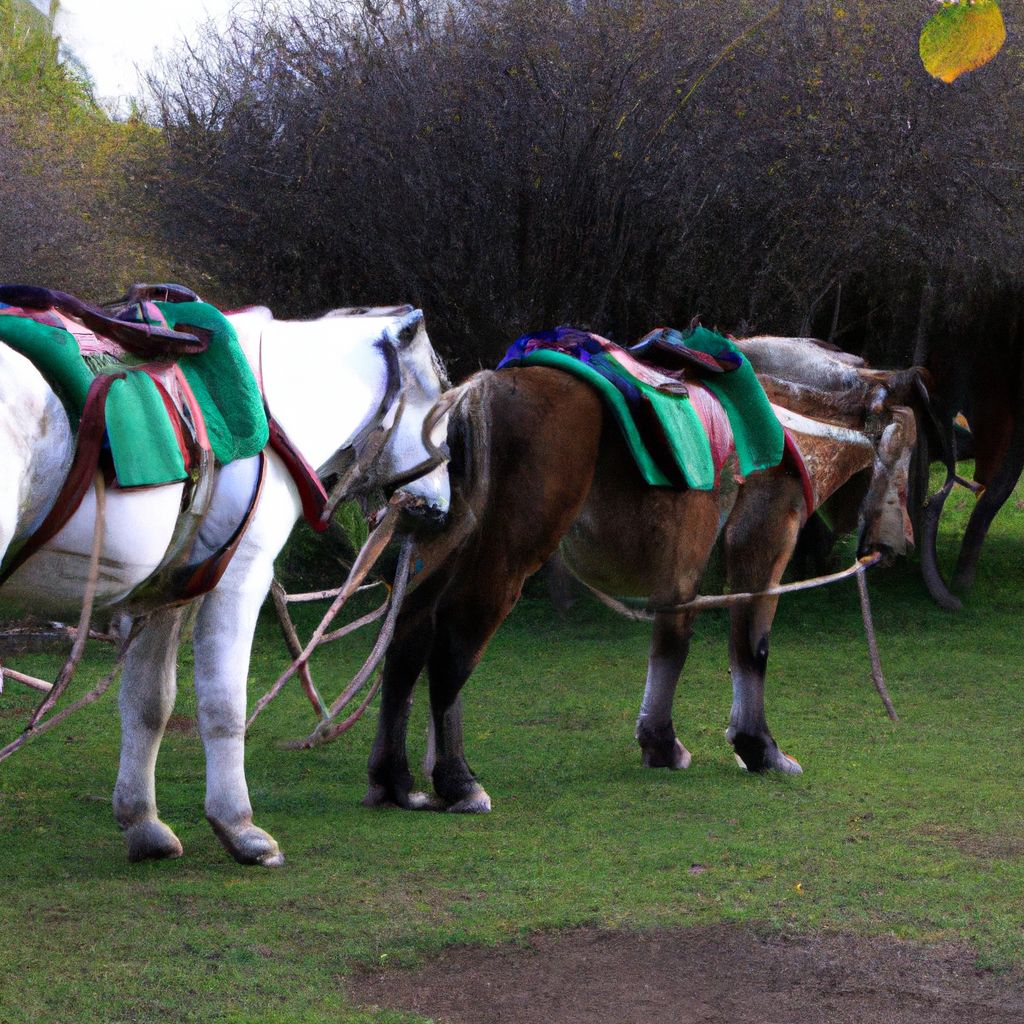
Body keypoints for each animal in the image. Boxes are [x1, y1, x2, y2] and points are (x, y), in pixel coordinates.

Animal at [0, 303, 450, 864]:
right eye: (440, 403)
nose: (441, 508)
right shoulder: (240, 581)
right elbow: (223, 703)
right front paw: (239, 828)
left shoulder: (162, 596)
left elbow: (148, 704)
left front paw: (143, 824)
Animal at [366, 337, 921, 815]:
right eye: (903, 458)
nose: (902, 545)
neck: (781, 417)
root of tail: (477, 392)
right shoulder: (763, 534)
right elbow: (750, 643)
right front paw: (758, 748)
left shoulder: (680, 568)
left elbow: (671, 640)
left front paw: (659, 743)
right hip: (507, 557)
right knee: (452, 645)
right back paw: (458, 782)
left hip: (442, 550)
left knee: (407, 636)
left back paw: (395, 781)